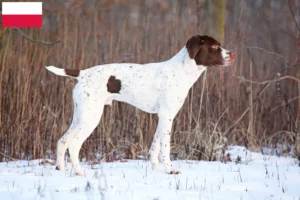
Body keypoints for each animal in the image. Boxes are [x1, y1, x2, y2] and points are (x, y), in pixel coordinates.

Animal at [45, 35, 236, 175]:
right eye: (214, 46)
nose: (233, 54)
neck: (181, 71)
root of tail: (83, 73)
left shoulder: (163, 117)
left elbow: (155, 146)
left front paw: (155, 168)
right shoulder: (167, 116)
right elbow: (165, 148)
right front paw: (170, 169)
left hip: (80, 117)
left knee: (62, 141)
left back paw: (61, 169)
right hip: (91, 118)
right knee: (73, 144)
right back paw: (79, 172)